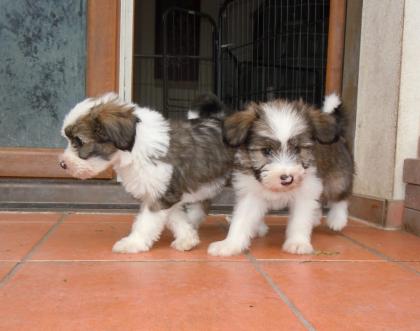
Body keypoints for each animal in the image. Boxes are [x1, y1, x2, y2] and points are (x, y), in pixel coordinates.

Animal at [60, 92, 235, 253]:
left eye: (78, 141)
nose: (62, 164)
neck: (134, 146)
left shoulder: (161, 193)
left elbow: (146, 222)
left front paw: (133, 242)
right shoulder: (164, 192)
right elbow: (175, 217)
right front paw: (187, 238)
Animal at [208, 94, 352, 258]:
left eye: (297, 149)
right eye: (266, 151)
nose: (287, 178)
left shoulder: (306, 190)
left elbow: (300, 220)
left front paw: (297, 243)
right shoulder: (251, 193)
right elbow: (241, 220)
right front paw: (229, 244)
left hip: (337, 177)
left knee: (340, 197)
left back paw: (337, 219)